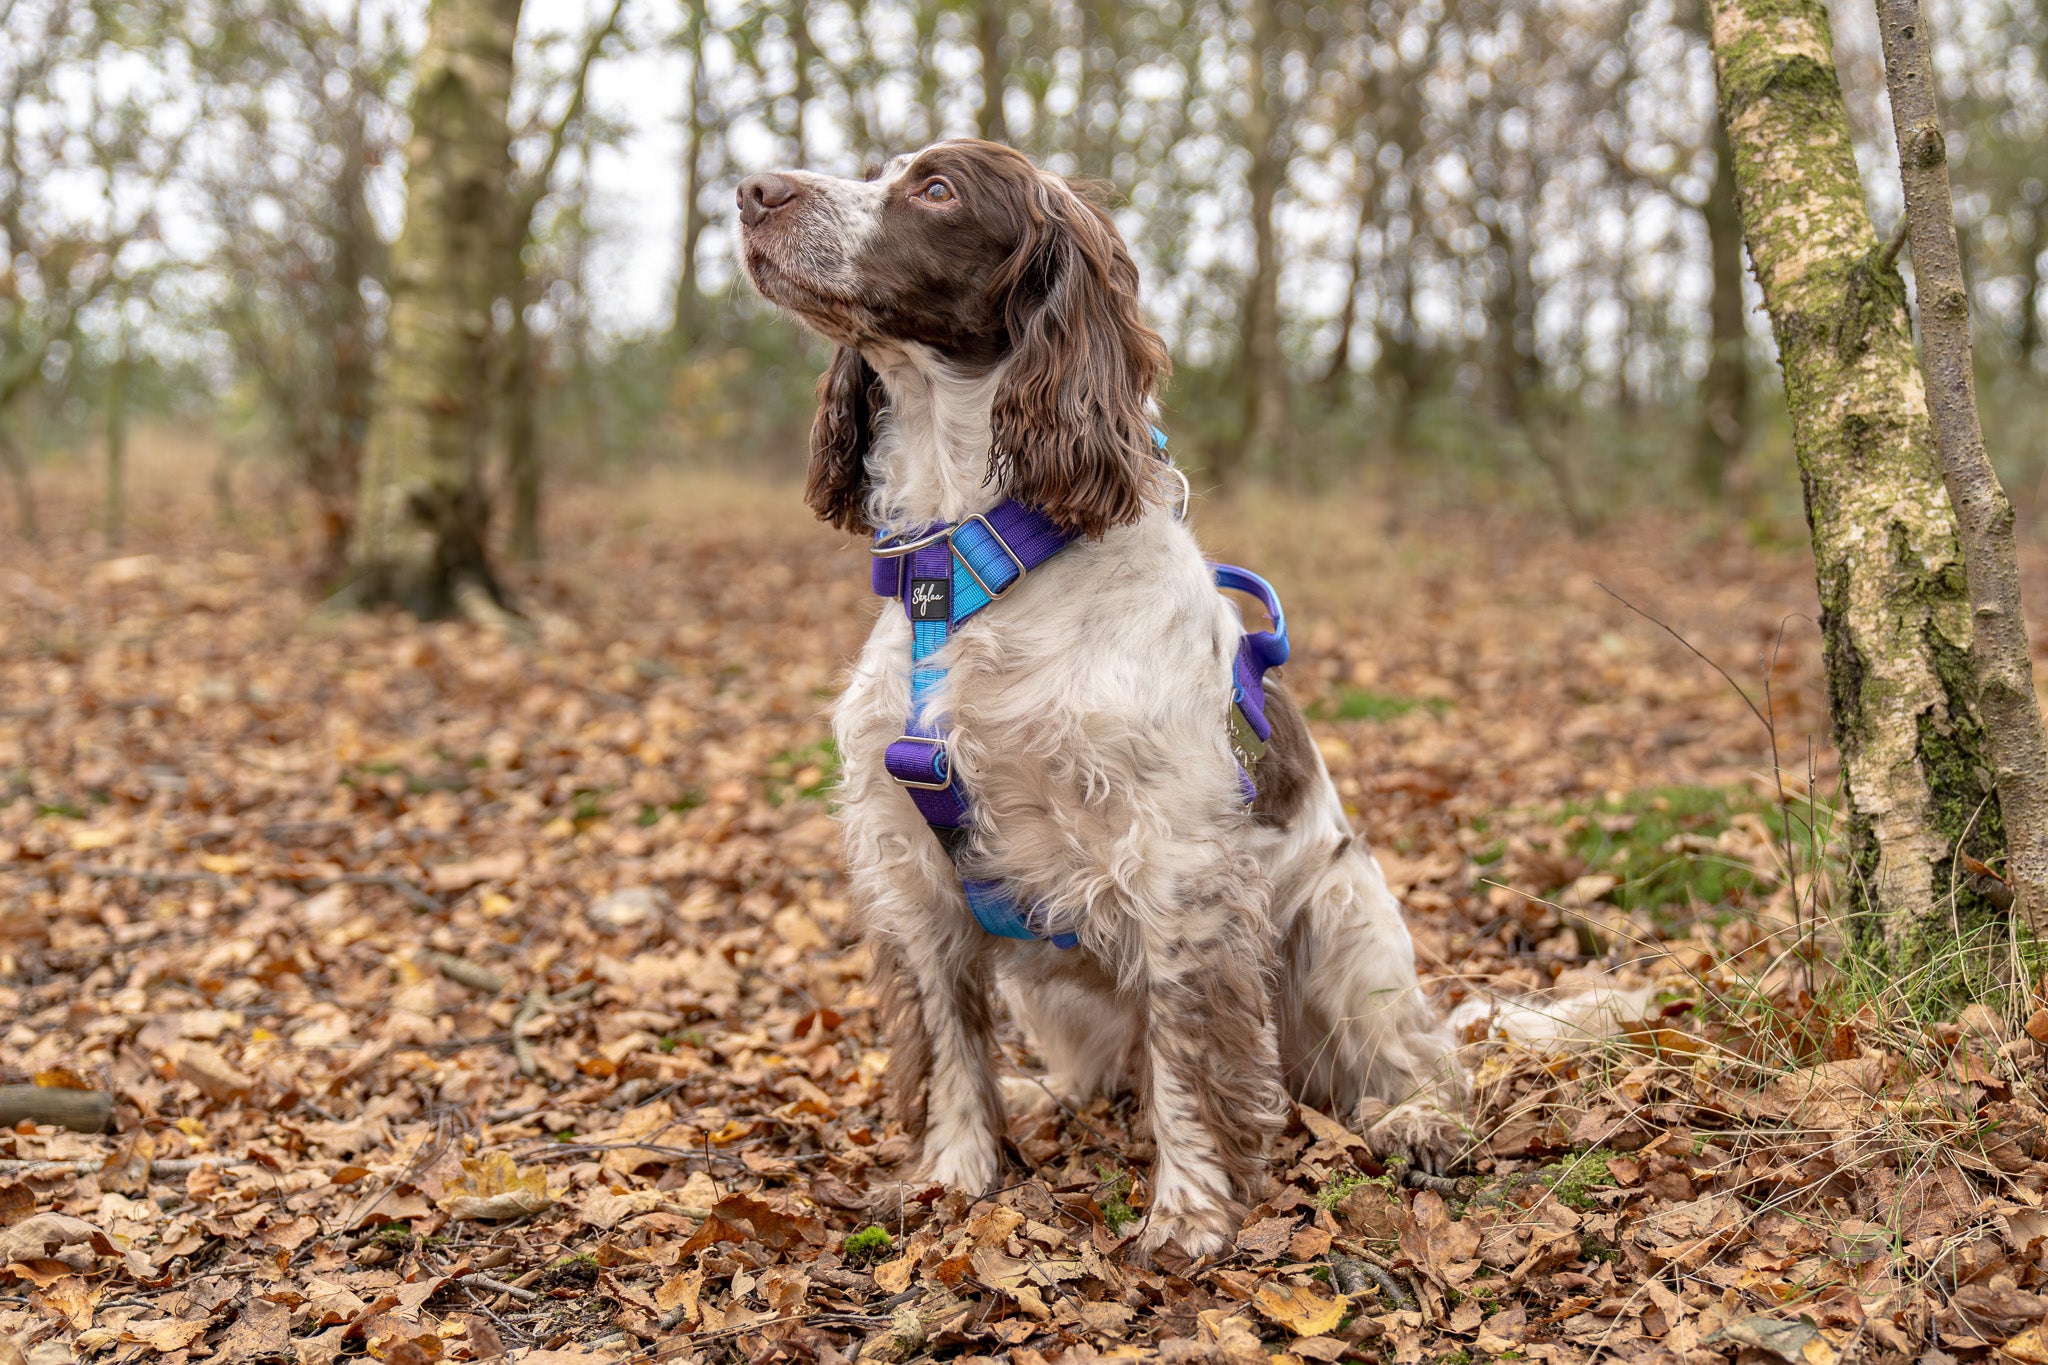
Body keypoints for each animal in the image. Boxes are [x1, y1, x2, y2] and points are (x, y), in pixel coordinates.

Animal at [737, 141, 1458, 1260]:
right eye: (875, 168)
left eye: (935, 190)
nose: (752, 190)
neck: (976, 563)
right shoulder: (907, 864)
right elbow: (950, 1048)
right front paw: (950, 1177)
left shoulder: (1176, 863)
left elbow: (1192, 1059)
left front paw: (1191, 1216)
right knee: (1104, 1071)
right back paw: (1044, 1097)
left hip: (1348, 926)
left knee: (1401, 1057)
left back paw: (1414, 1118)